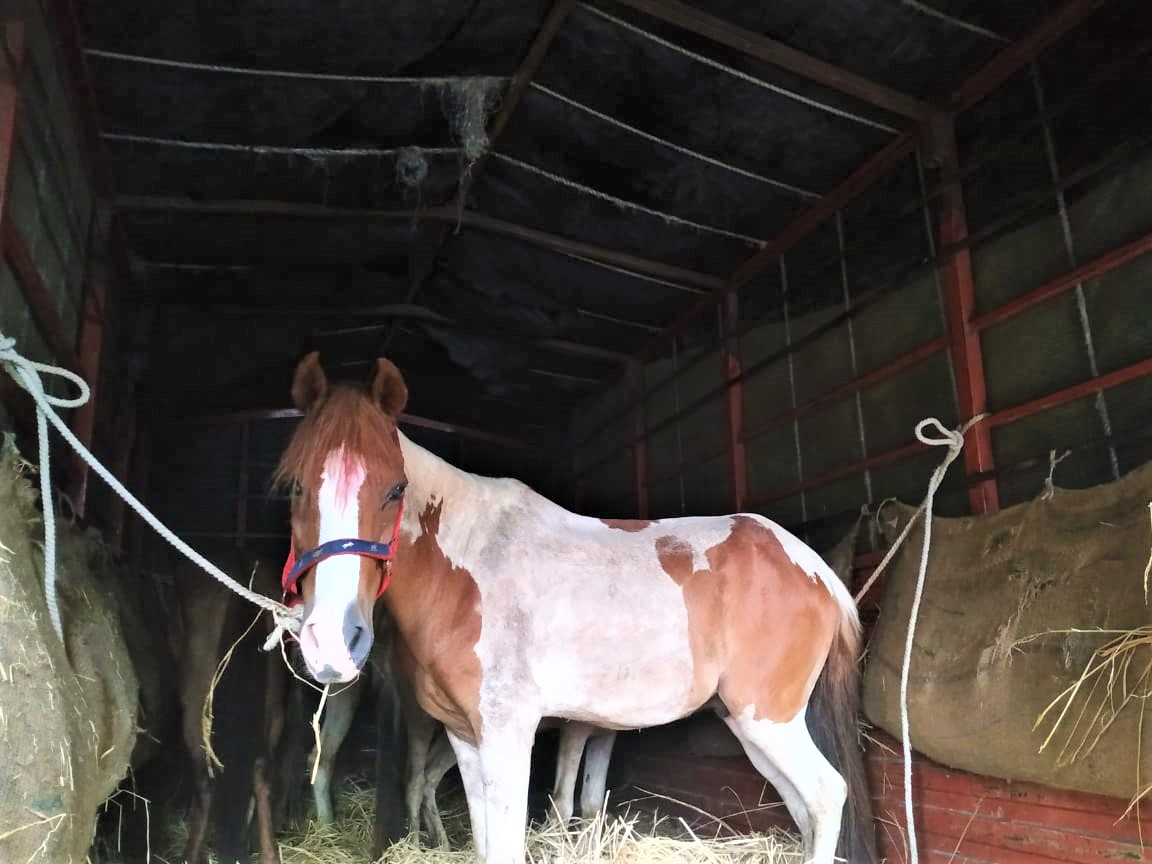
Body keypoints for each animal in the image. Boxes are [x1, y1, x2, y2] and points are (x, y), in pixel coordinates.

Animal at [274, 352, 875, 864]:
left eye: (396, 490)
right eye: (295, 487)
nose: (332, 641)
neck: (468, 568)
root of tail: (812, 567)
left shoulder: (509, 735)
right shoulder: (467, 740)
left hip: (768, 719)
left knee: (826, 796)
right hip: (751, 726)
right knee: (804, 809)